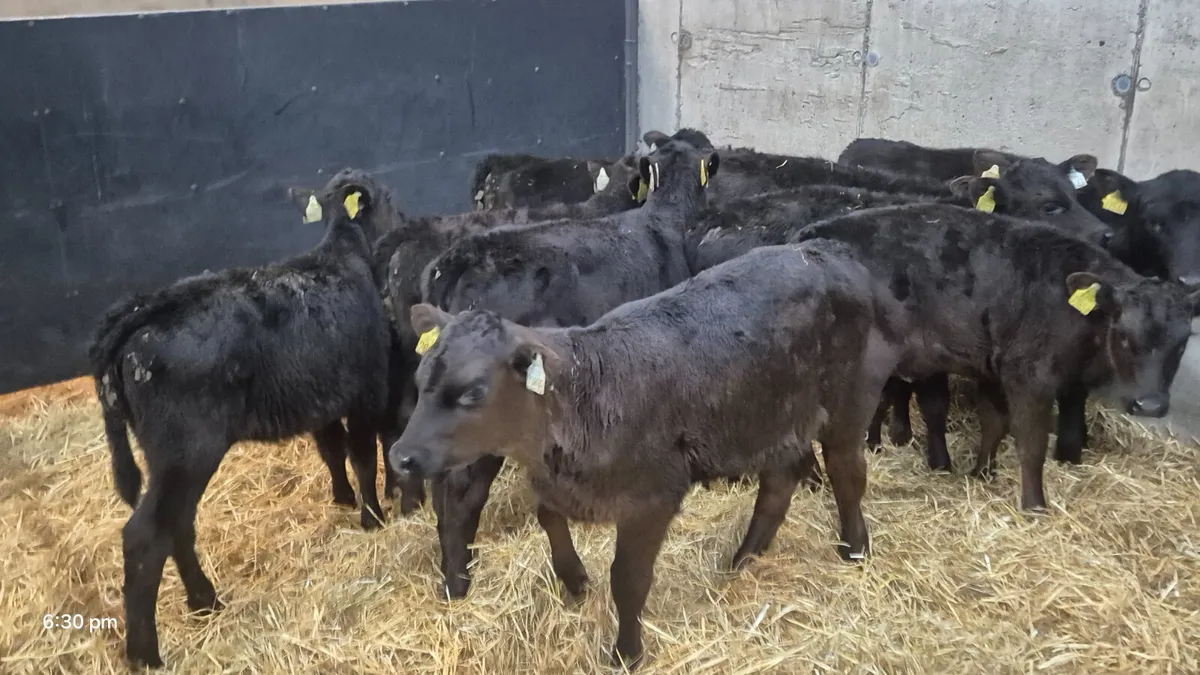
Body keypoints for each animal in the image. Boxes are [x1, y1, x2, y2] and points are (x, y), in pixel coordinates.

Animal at [90, 185, 391, 668]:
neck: (342, 258)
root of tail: (140, 312)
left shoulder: (323, 394)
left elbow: (333, 449)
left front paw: (343, 499)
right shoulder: (367, 388)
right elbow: (362, 454)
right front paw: (373, 517)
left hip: (169, 458)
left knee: (177, 525)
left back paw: (203, 601)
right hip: (187, 451)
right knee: (146, 536)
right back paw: (146, 653)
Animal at [389, 239, 902, 668]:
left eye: (472, 393)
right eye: (419, 378)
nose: (400, 456)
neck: (584, 397)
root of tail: (827, 253)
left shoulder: (652, 497)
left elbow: (628, 580)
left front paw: (626, 653)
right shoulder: (560, 483)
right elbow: (547, 516)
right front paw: (574, 578)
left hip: (849, 400)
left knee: (846, 473)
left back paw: (855, 548)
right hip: (773, 416)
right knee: (780, 482)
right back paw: (743, 560)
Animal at [784, 202, 1198, 508]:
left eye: (1182, 342)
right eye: (1125, 337)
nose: (1151, 405)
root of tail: (802, 240)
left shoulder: (995, 368)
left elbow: (995, 423)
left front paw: (983, 472)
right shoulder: (1029, 376)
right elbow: (1030, 441)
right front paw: (1034, 504)